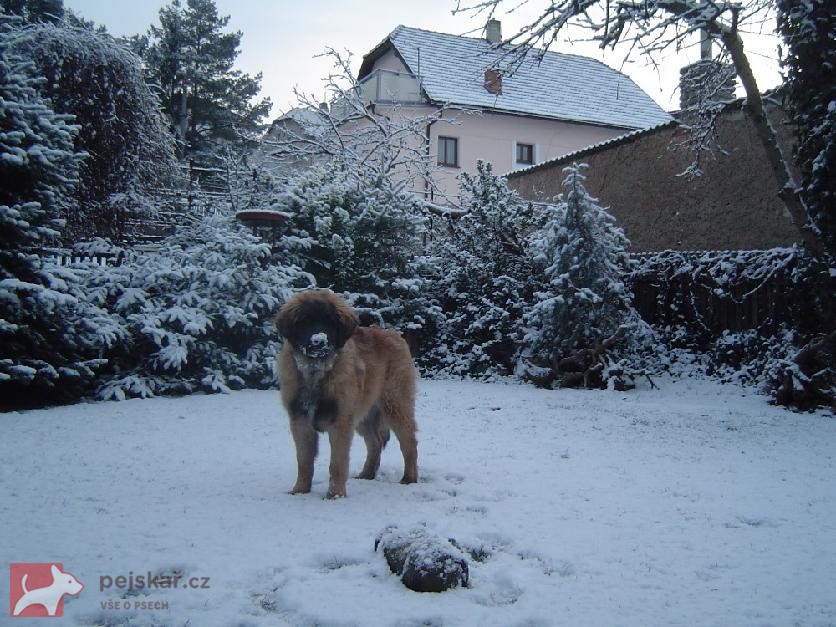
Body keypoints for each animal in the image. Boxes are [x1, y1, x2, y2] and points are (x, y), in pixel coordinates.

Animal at [274, 290, 418, 500]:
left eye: (329, 322)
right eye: (305, 321)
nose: (318, 342)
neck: (315, 373)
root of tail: (394, 334)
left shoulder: (340, 420)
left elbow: (337, 463)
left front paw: (335, 495)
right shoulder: (300, 420)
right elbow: (304, 460)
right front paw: (300, 490)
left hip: (395, 404)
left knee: (409, 441)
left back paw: (409, 478)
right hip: (363, 413)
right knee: (375, 442)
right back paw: (367, 474)